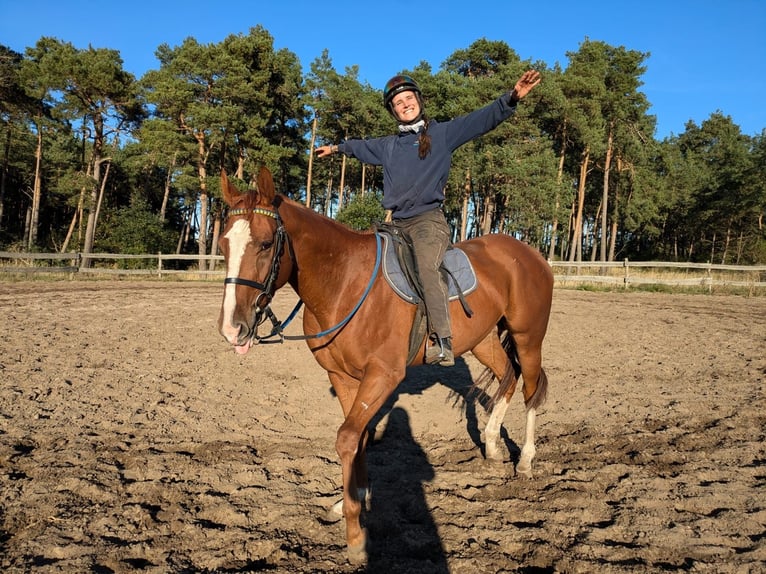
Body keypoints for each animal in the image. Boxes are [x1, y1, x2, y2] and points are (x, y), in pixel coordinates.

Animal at [216, 168, 552, 568]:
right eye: (223, 245)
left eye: (266, 244)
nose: (232, 328)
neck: (345, 282)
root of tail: (529, 253)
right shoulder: (343, 376)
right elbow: (358, 437)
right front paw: (356, 497)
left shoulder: (383, 374)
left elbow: (347, 437)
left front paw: (355, 534)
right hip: (483, 340)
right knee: (507, 377)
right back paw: (491, 445)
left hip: (528, 337)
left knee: (531, 390)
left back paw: (526, 462)